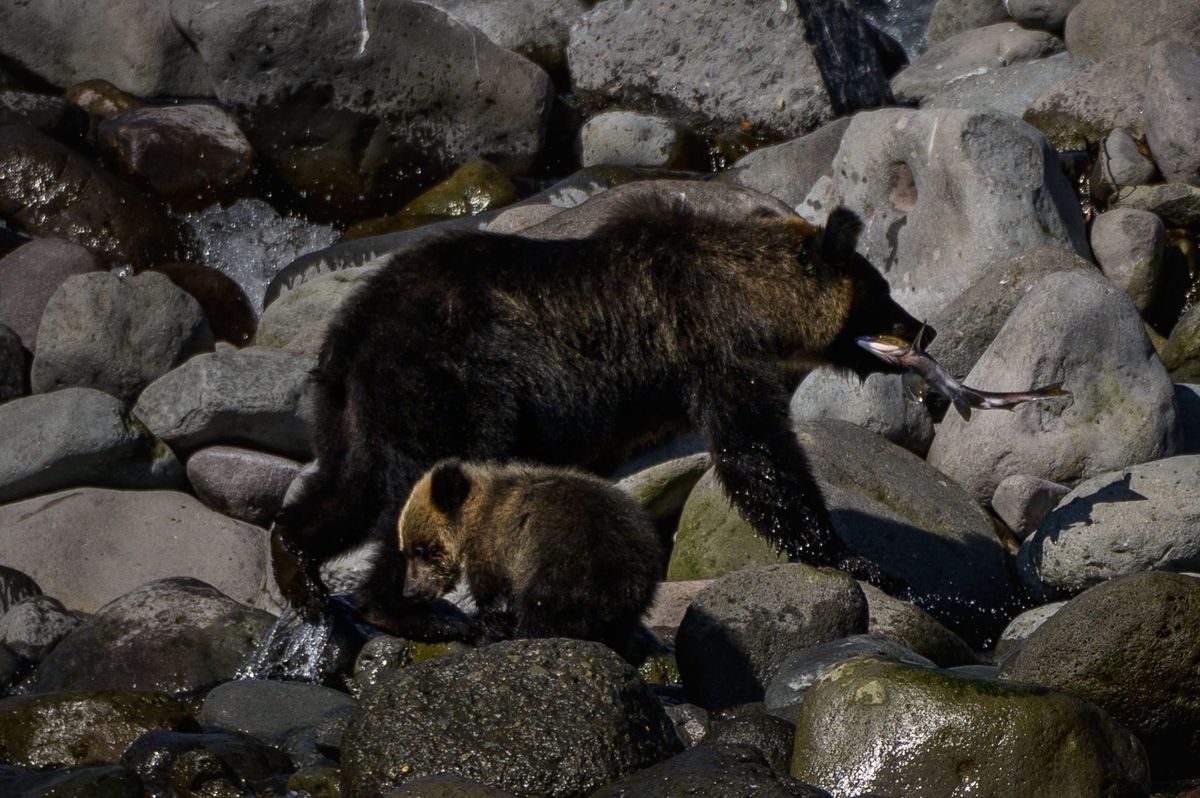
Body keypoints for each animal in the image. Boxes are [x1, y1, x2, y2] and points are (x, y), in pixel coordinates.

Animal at [270, 191, 928, 621]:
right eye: (881, 291)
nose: (925, 328)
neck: (748, 301)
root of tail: (356, 328)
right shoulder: (710, 349)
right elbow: (759, 457)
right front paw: (859, 559)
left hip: (349, 405)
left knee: (347, 486)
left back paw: (299, 564)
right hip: (445, 383)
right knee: (410, 488)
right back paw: (393, 602)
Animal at [374, 458, 664, 654]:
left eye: (420, 550)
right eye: (406, 551)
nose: (410, 590)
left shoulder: (496, 549)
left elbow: (493, 597)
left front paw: (487, 626)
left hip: (566, 564)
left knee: (542, 610)